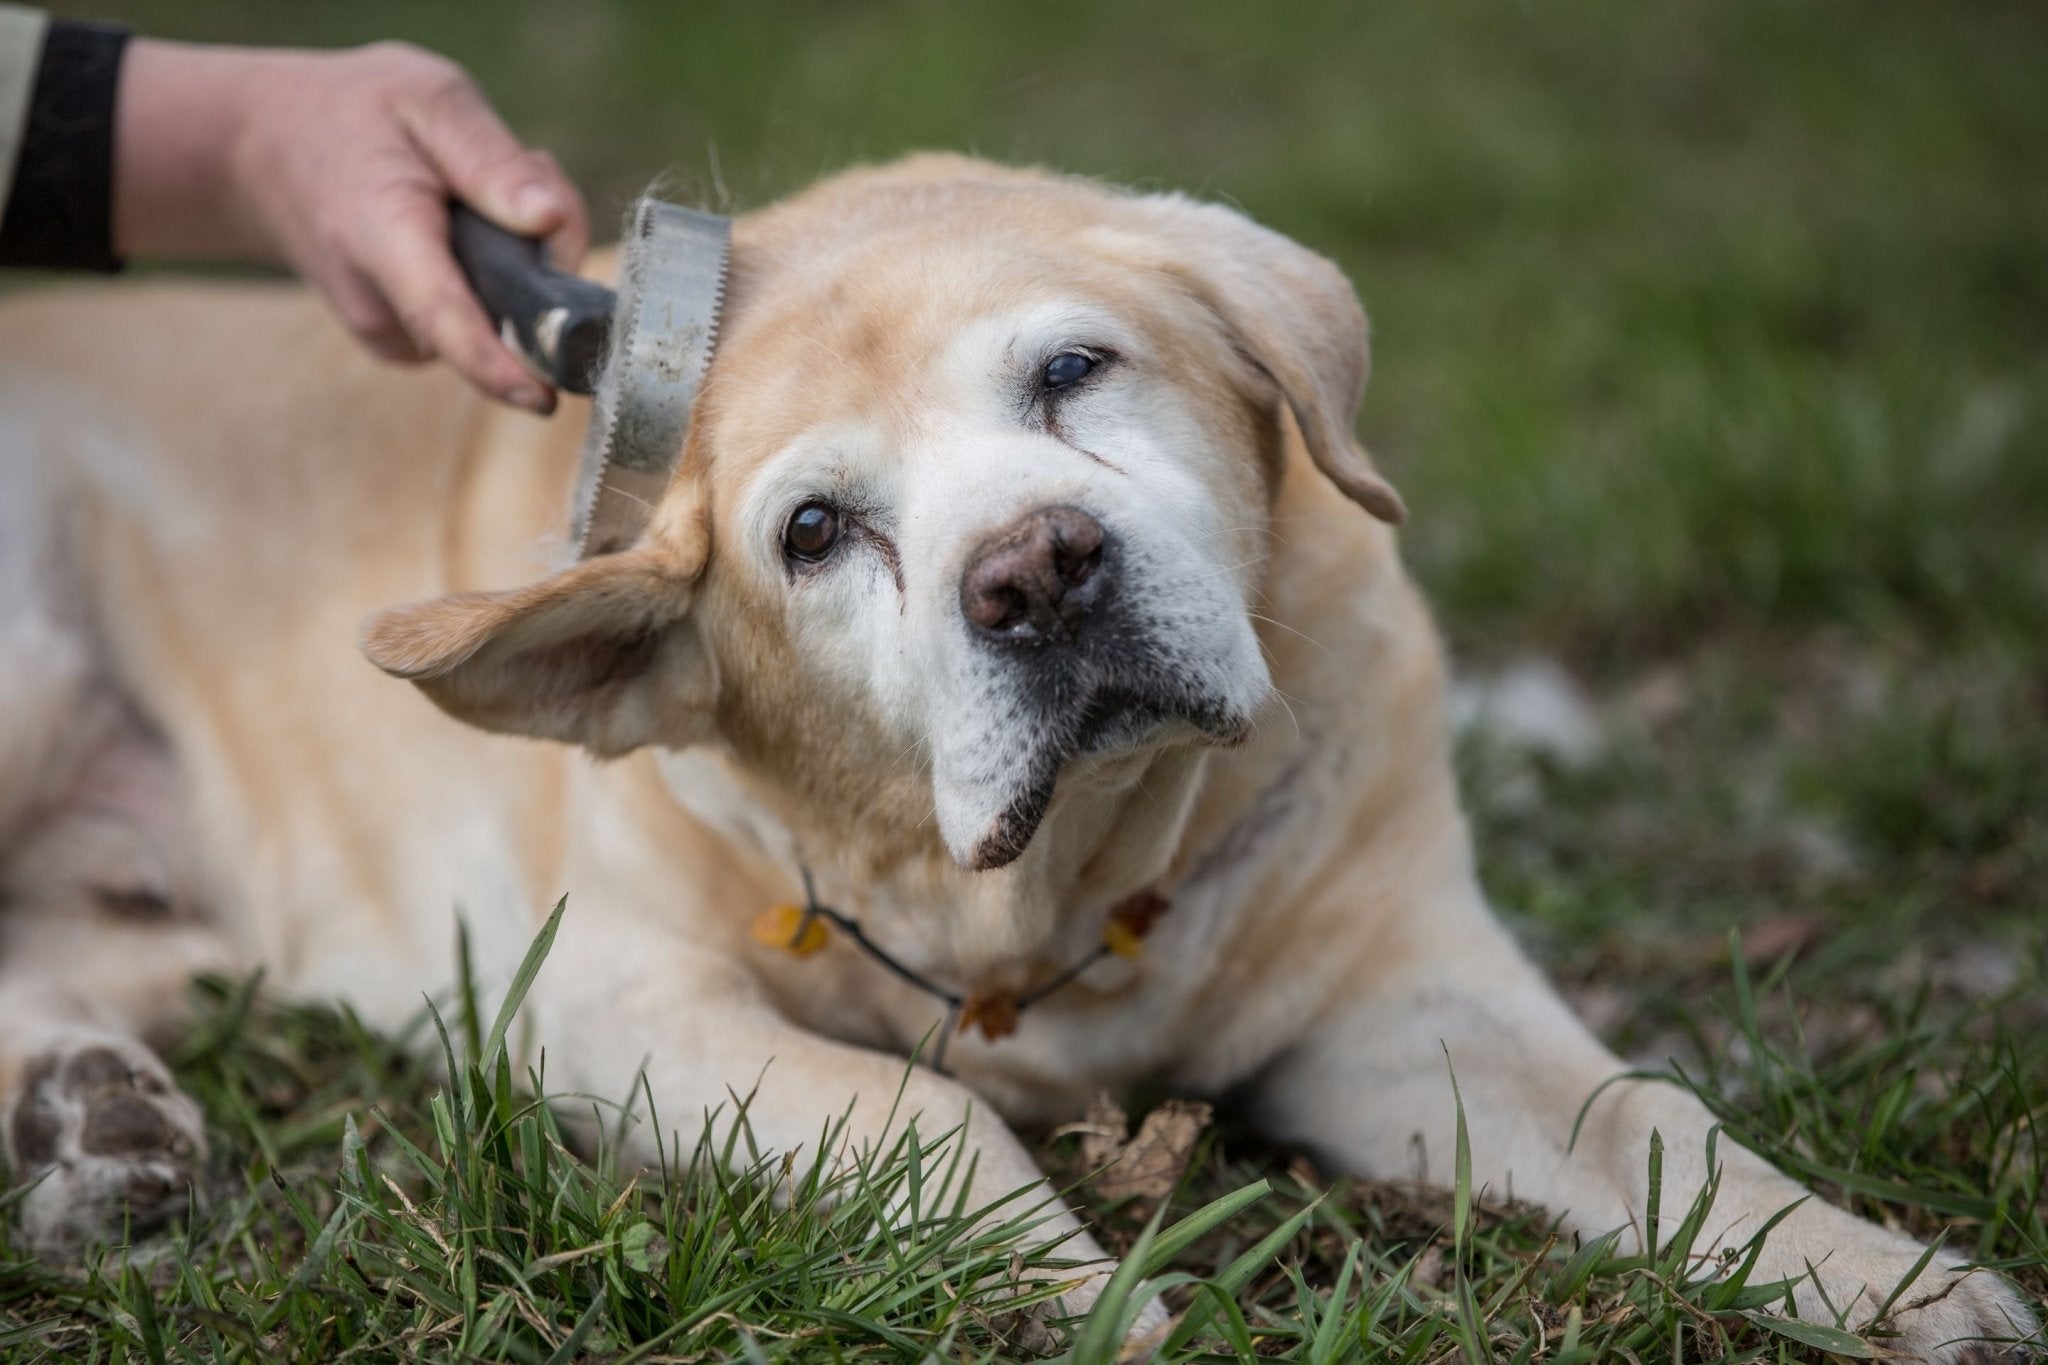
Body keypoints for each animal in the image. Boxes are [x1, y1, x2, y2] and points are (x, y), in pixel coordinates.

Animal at [0, 157, 2031, 1358]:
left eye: (1073, 372)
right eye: (815, 532)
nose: (1040, 574)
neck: (1063, 891)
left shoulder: (1414, 1001)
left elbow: (1655, 1125)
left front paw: (1892, 1281)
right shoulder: (601, 1000)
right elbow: (911, 1111)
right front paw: (1107, 1302)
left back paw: (97, 1124)